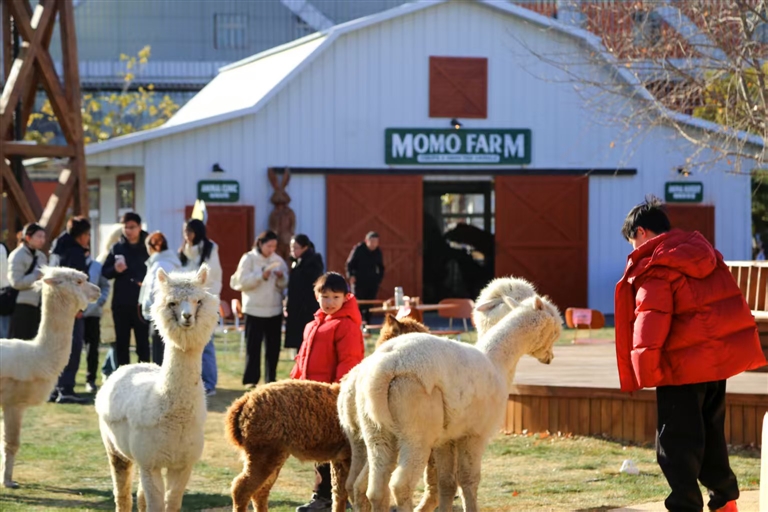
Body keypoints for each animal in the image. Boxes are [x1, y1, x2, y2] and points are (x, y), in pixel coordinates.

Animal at [0, 267, 100, 488]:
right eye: (79, 281)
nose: (98, 290)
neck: (37, 355)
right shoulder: (13, 402)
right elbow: (12, 443)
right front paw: (8, 481)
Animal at [95, 265, 219, 511]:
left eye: (198, 301)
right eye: (172, 303)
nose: (187, 317)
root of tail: (129, 366)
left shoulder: (182, 464)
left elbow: (171, 503)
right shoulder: (149, 461)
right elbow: (155, 504)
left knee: (140, 496)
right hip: (114, 447)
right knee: (122, 493)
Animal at [224, 314, 429, 512]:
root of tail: (243, 403)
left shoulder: (340, 457)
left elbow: (339, 493)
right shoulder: (351, 455)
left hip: (273, 451)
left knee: (260, 491)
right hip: (263, 450)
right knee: (241, 488)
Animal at [356, 287, 562, 512]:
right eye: (556, 328)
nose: (550, 357)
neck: (497, 362)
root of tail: (385, 367)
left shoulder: (446, 438)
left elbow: (447, 482)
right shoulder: (475, 433)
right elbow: (469, 480)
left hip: (376, 430)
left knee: (376, 488)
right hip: (416, 424)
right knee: (401, 484)